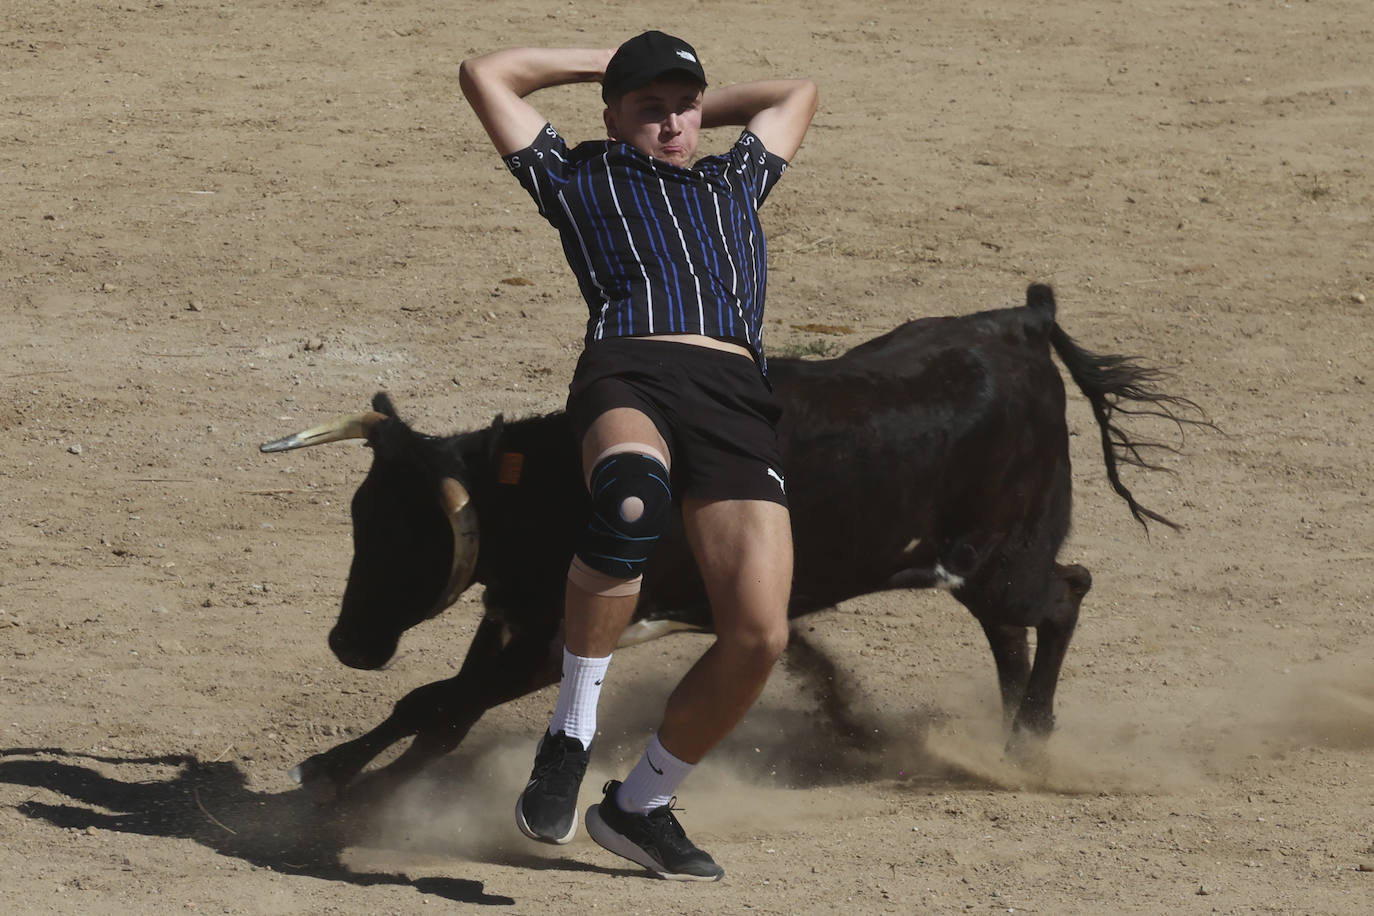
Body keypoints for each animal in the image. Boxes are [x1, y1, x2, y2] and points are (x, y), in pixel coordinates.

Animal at [259, 284, 1203, 796]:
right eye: (358, 520)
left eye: (401, 533)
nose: (348, 643)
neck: (556, 486)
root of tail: (1020, 323)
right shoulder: (517, 618)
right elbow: (439, 707)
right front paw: (360, 779)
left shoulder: (559, 631)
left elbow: (437, 701)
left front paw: (333, 775)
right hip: (976, 568)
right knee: (1017, 628)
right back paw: (1008, 738)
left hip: (1001, 561)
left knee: (1065, 596)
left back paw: (1031, 741)